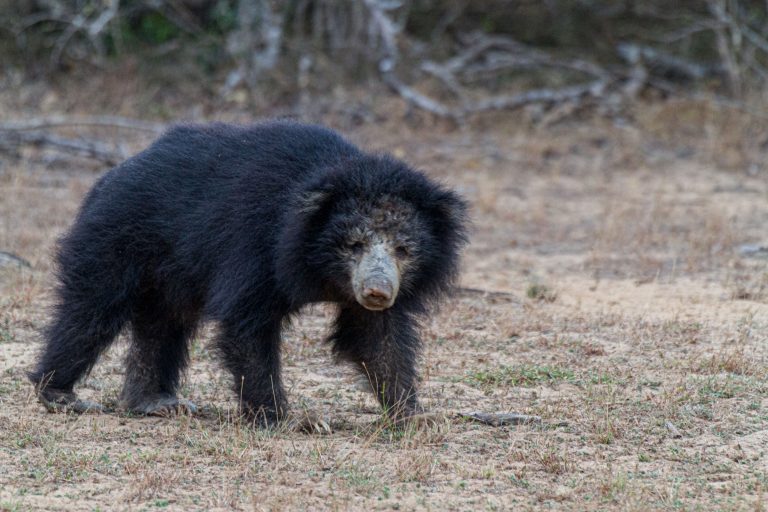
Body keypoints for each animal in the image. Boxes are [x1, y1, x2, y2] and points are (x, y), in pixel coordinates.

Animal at [28, 120, 468, 426]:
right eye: (354, 244)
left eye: (403, 249)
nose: (377, 291)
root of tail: (112, 174)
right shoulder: (255, 246)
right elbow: (247, 324)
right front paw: (288, 419)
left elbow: (376, 337)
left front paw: (415, 415)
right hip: (117, 240)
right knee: (92, 310)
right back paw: (60, 393)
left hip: (169, 273)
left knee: (163, 325)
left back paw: (156, 402)